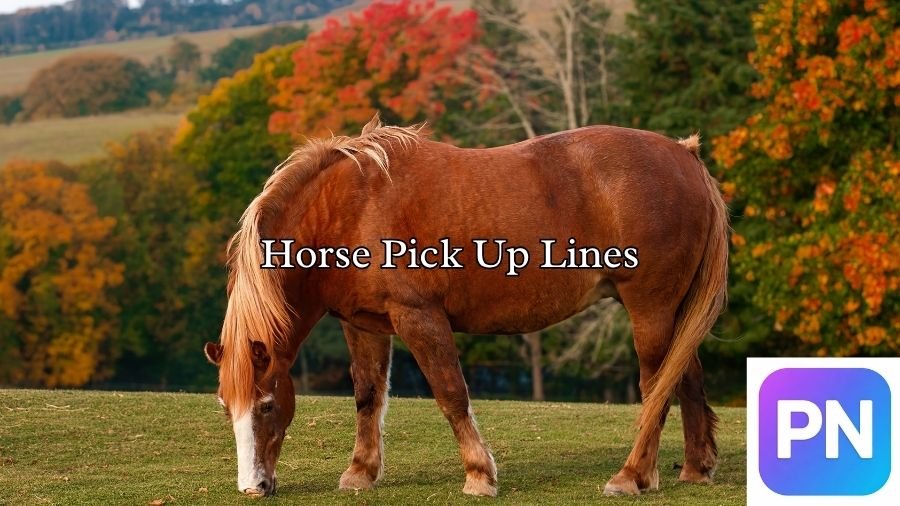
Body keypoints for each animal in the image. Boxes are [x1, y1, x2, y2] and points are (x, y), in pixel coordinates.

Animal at [203, 113, 728, 497]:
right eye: (226, 407)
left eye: (267, 405)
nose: (253, 487)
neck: (351, 207)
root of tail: (684, 156)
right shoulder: (365, 325)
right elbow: (368, 396)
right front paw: (360, 472)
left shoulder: (419, 317)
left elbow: (451, 394)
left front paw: (479, 475)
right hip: (673, 311)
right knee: (687, 377)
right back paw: (695, 469)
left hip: (650, 308)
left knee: (657, 387)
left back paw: (632, 476)